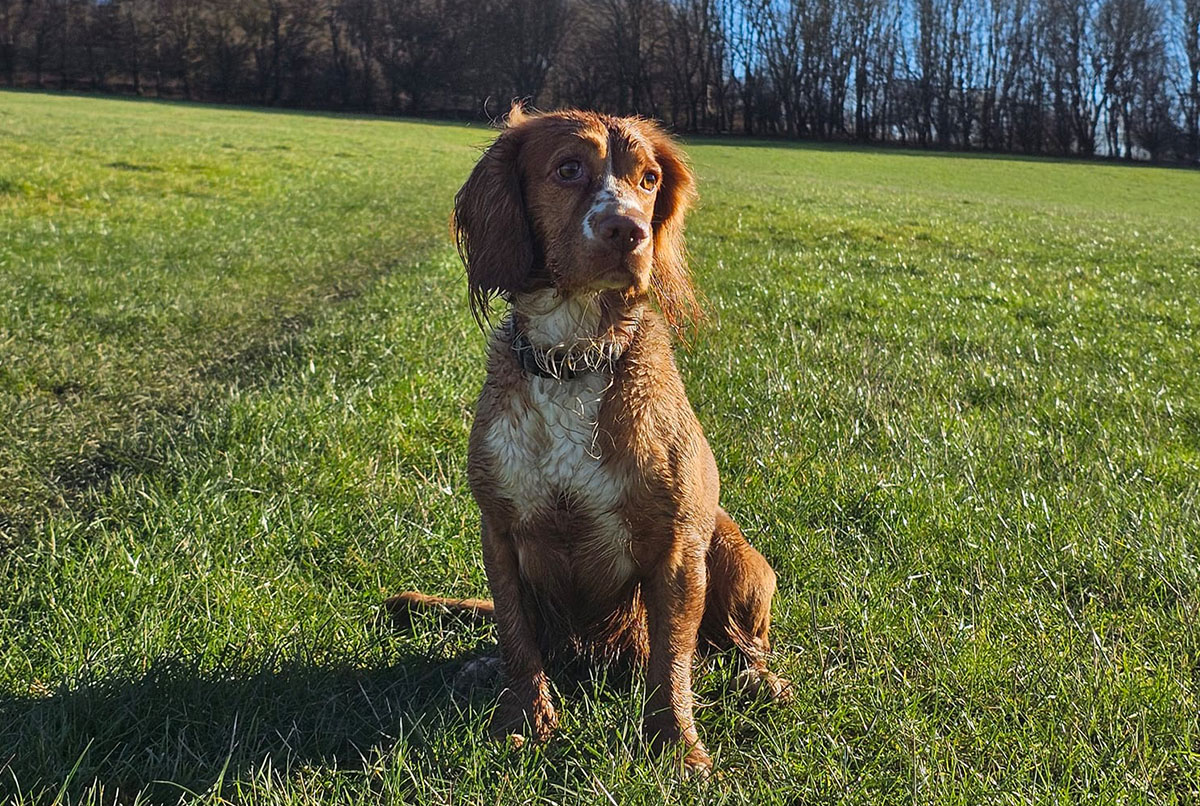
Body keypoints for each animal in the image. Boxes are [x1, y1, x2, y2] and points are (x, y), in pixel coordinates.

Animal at [388, 106, 792, 772]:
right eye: (568, 169)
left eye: (650, 179)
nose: (628, 230)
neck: (572, 358)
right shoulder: (500, 532)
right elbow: (518, 639)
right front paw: (526, 720)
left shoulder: (677, 547)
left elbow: (672, 660)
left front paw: (675, 745)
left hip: (735, 552)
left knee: (738, 643)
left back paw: (760, 678)